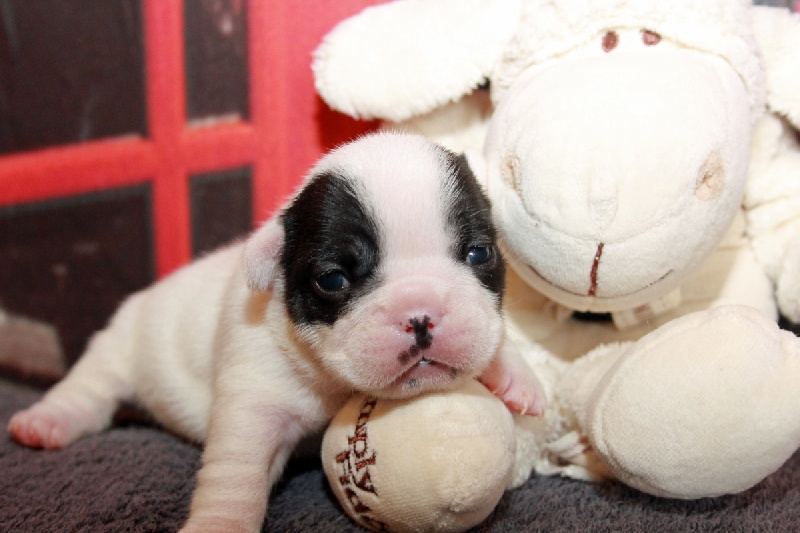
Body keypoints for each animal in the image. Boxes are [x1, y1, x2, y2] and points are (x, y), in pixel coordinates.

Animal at [7, 132, 544, 532]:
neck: (334, 380)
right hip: (120, 345)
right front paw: (219, 524)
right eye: (334, 279)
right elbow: (236, 475)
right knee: (90, 390)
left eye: (479, 253)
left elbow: (491, 333)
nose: (421, 312)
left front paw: (513, 372)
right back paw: (48, 422)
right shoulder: (253, 401)